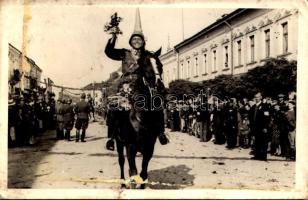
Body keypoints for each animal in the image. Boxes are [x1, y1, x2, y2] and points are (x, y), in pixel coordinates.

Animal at [110, 48, 166, 189]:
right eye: (146, 65)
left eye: (160, 65)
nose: (160, 87)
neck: (143, 117)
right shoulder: (130, 147)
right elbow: (133, 172)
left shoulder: (149, 148)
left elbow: (143, 173)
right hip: (119, 142)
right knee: (121, 161)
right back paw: (122, 183)